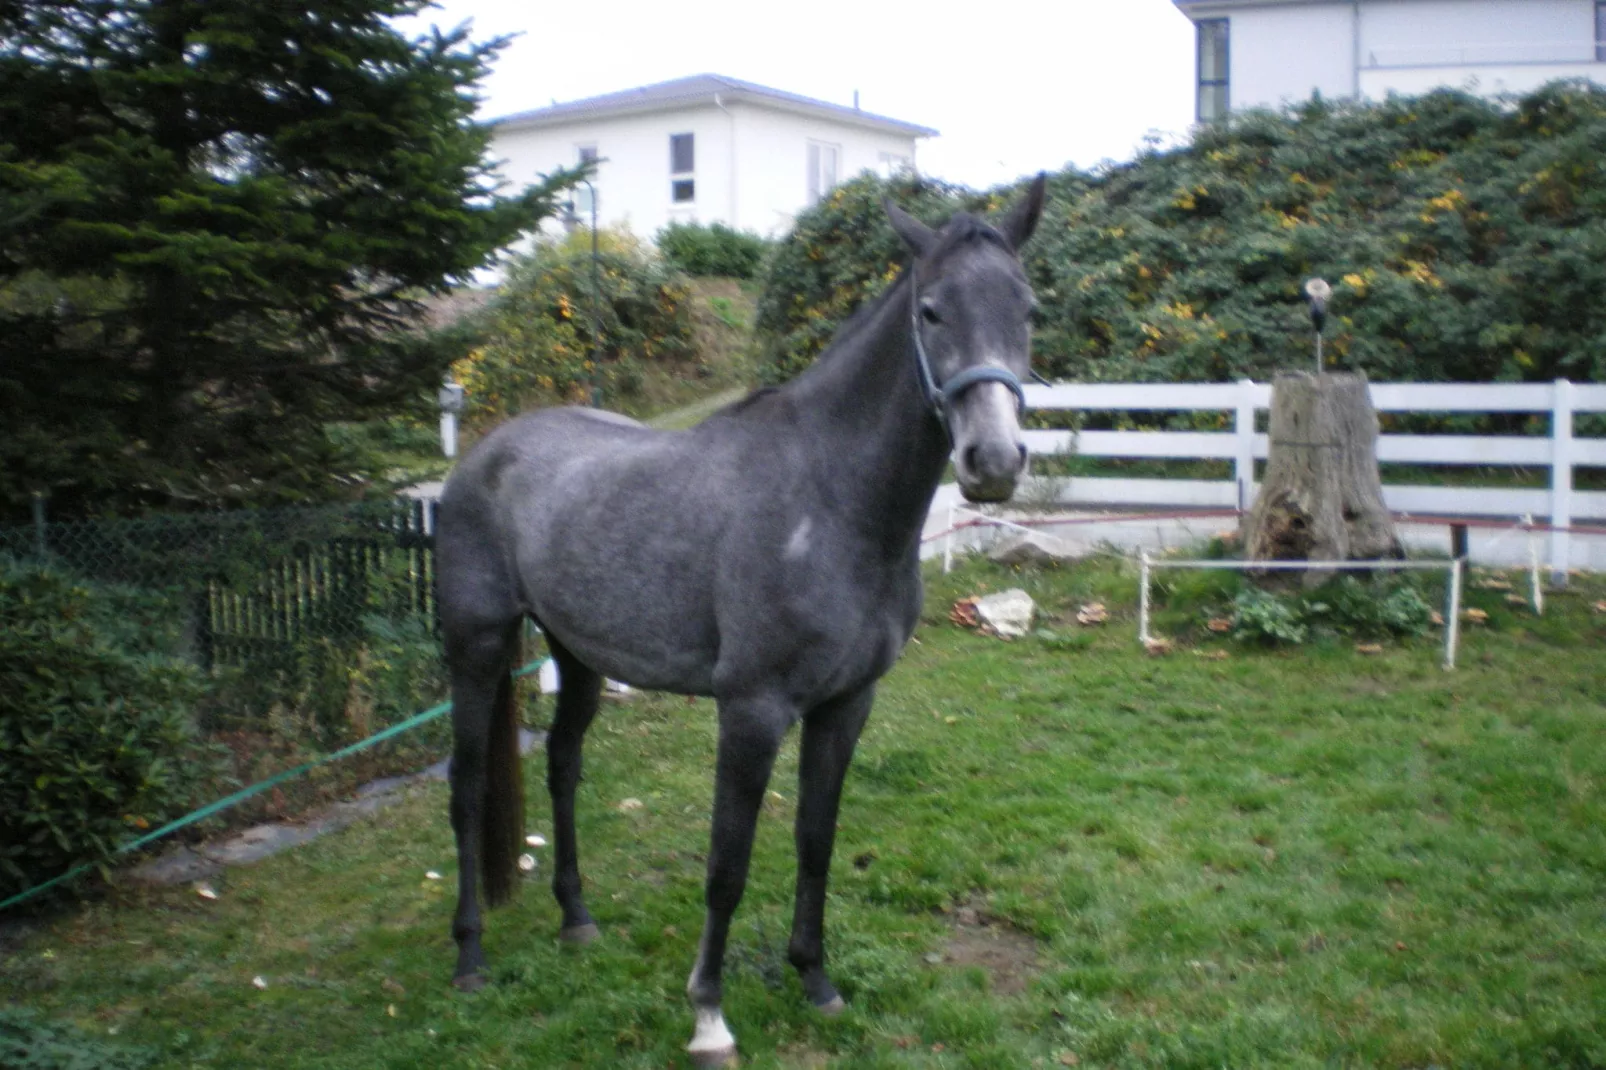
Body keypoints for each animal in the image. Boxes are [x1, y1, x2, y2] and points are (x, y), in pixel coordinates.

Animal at [433, 172, 1047, 1060]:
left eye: (1027, 309)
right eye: (931, 311)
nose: (993, 462)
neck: (831, 498)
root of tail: (482, 454)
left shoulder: (845, 704)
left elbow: (816, 841)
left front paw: (815, 979)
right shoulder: (751, 710)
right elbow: (727, 863)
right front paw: (709, 1016)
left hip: (576, 655)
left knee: (562, 765)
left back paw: (576, 919)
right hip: (476, 648)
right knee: (466, 786)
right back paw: (471, 957)